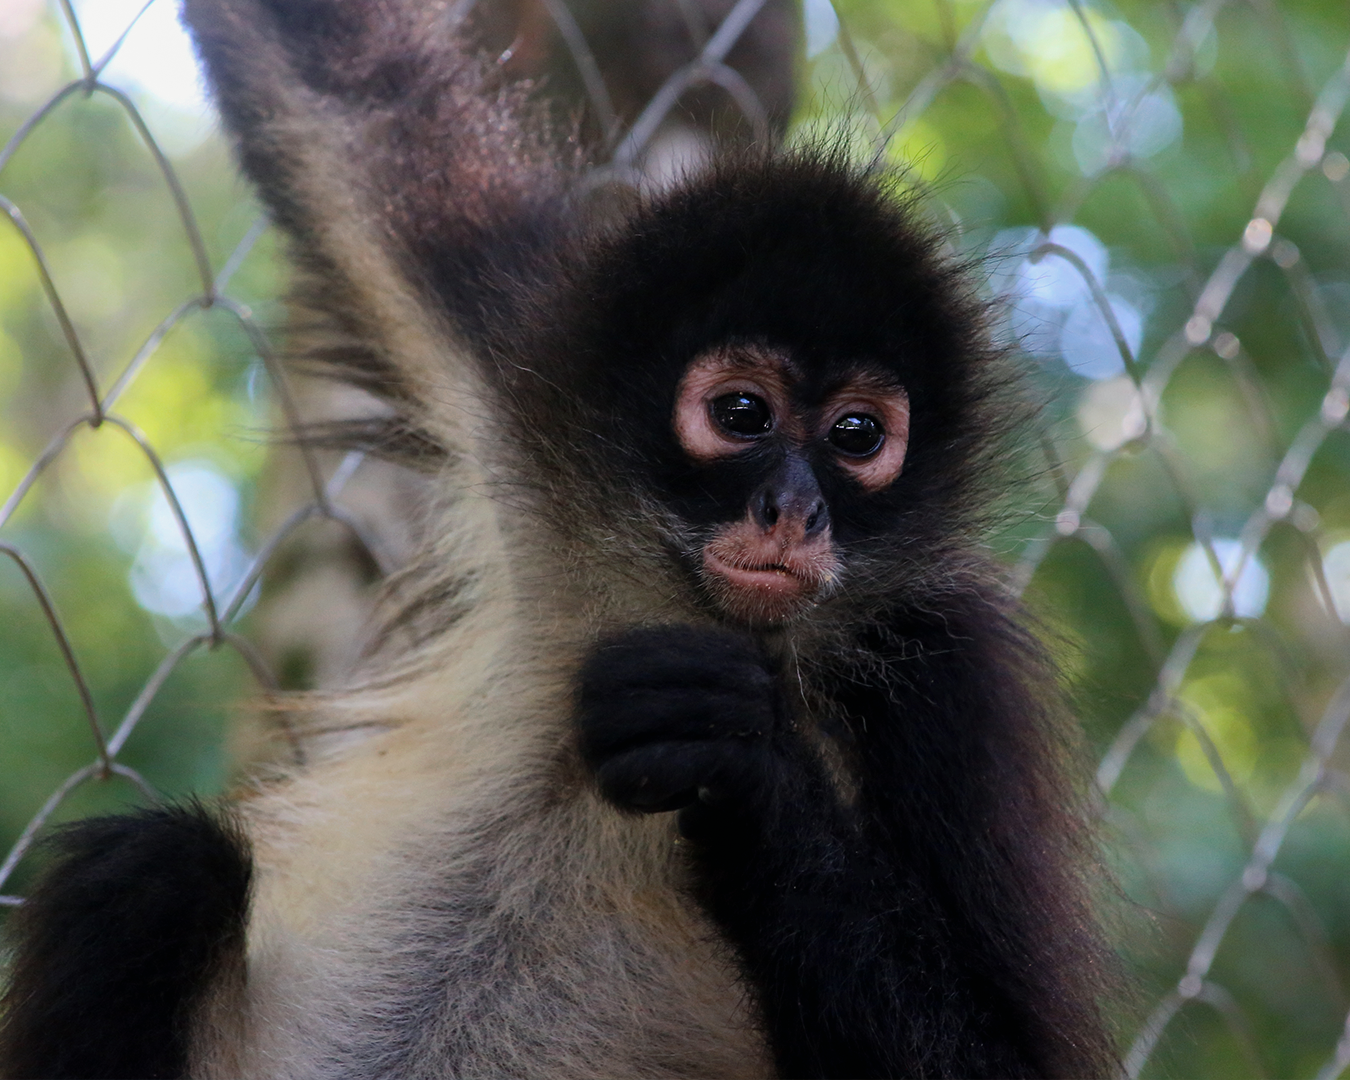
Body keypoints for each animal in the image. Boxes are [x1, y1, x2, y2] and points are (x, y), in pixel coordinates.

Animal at [0, 0, 1120, 1077]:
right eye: (743, 413)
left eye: (856, 436)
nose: (794, 510)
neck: (671, 605)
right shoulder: (528, 354)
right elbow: (332, 74)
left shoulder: (951, 669)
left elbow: (1011, 1061)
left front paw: (747, 765)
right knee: (151, 871)